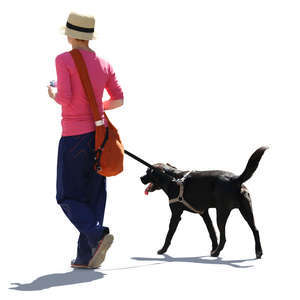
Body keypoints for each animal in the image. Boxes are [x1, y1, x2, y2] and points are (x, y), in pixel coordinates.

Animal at [140, 146, 268, 258]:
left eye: (147, 172)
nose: (140, 178)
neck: (172, 179)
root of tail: (236, 179)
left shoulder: (176, 214)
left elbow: (169, 233)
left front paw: (163, 250)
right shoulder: (204, 213)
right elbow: (212, 232)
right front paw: (213, 247)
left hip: (221, 213)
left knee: (224, 237)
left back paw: (217, 253)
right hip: (246, 211)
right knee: (255, 230)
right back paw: (258, 252)